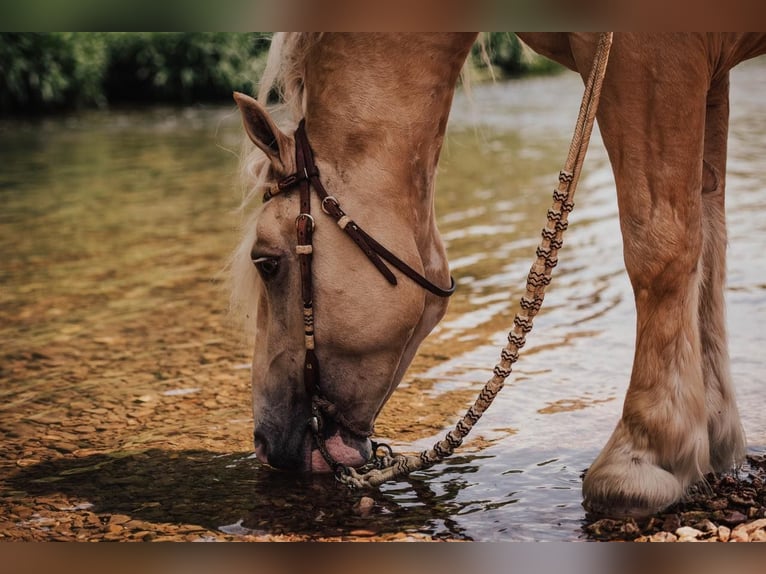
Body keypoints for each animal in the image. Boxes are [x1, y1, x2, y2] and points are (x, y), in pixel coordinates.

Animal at [231, 33, 766, 518]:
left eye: (266, 261)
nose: (264, 446)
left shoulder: (651, 62)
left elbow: (660, 245)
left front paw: (644, 461)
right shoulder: (709, 73)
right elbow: (709, 241)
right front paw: (714, 442)